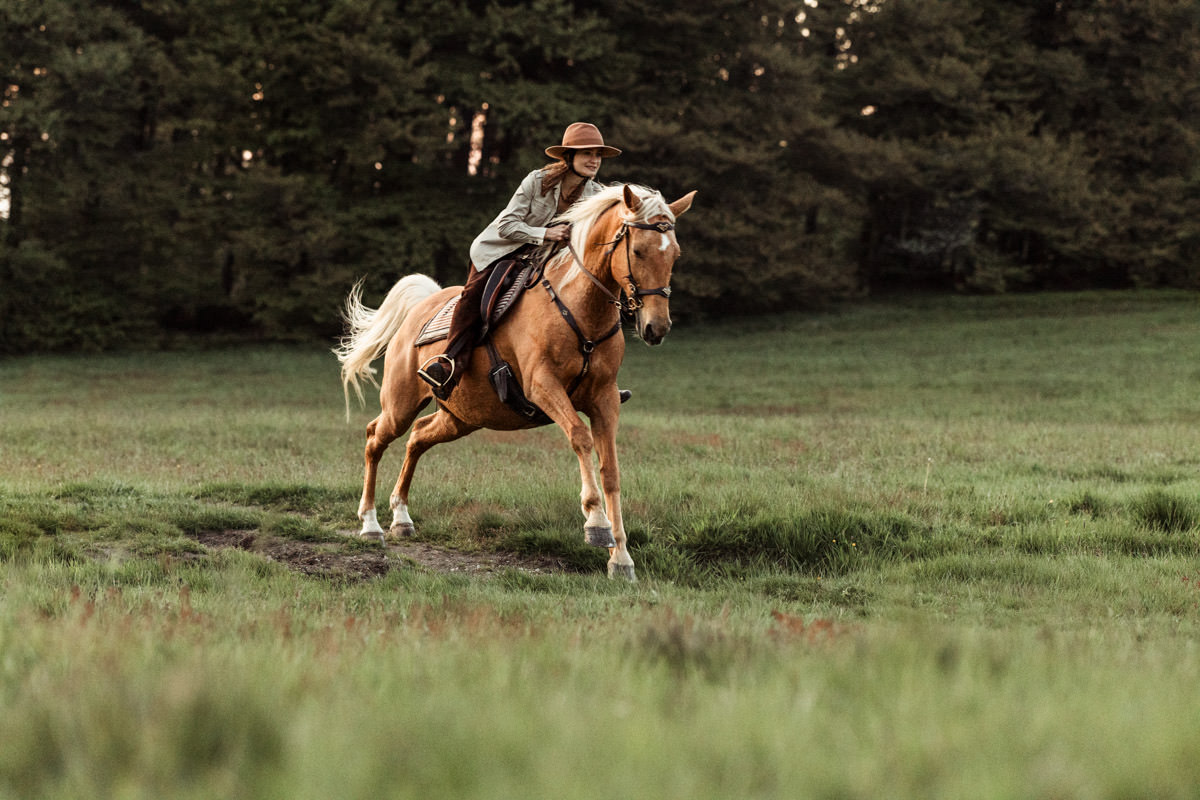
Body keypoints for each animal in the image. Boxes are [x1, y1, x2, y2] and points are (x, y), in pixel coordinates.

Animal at [336, 183, 696, 582]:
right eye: (637, 251)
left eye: (674, 254)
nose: (656, 328)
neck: (577, 307)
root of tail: (421, 306)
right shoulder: (543, 388)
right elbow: (581, 437)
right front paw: (596, 523)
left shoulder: (605, 399)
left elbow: (611, 470)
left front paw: (621, 559)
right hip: (401, 403)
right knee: (376, 437)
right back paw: (370, 525)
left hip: (462, 417)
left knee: (417, 437)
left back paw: (401, 517)